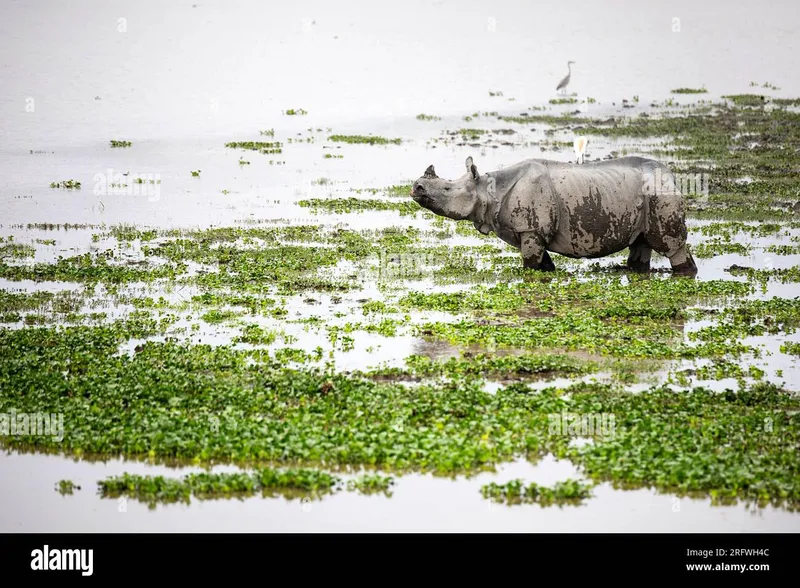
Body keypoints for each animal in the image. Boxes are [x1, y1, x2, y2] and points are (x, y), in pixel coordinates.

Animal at [410, 156, 696, 276]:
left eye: (447, 189)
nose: (416, 187)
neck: (488, 189)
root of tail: (671, 175)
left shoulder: (531, 229)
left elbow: (530, 265)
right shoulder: (530, 232)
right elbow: (543, 264)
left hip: (659, 192)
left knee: (670, 245)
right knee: (641, 244)